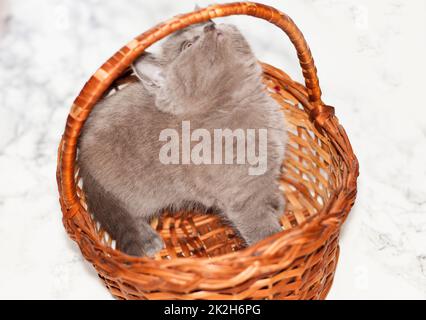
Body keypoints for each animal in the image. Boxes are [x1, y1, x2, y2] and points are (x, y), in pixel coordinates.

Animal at [78, 20, 288, 258]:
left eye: (209, 23)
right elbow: (262, 230)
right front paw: (276, 248)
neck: (239, 102)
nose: (210, 26)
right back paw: (146, 238)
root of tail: (81, 157)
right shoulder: (243, 198)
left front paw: (277, 204)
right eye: (187, 45)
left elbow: (269, 188)